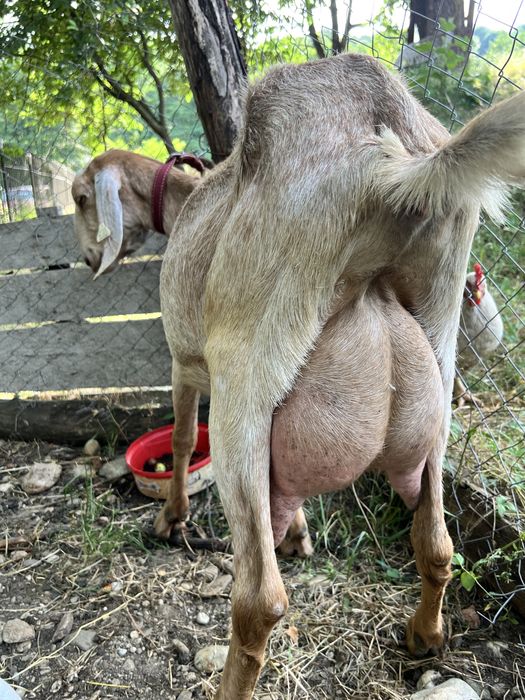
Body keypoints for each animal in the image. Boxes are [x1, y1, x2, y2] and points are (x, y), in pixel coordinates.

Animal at [74, 54, 525, 699]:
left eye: (81, 197)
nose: (89, 258)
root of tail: (396, 165)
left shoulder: (185, 363)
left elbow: (182, 439)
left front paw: (172, 517)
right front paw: (299, 533)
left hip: (244, 378)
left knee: (259, 599)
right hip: (437, 359)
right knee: (437, 544)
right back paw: (424, 637)